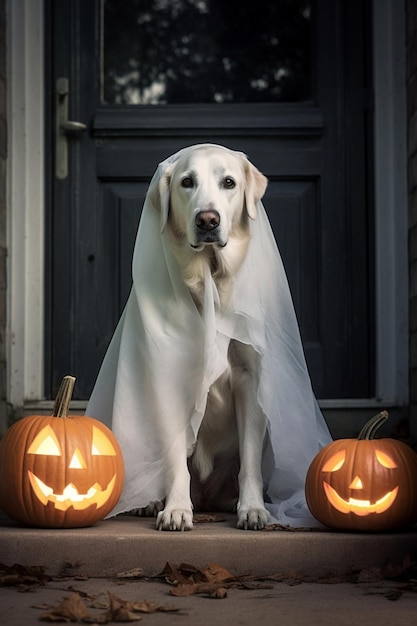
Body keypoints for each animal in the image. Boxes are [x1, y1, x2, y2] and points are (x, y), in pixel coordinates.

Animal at [140, 145, 272, 528]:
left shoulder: (249, 378)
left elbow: (250, 459)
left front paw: (252, 508)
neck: (209, 279)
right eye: (187, 182)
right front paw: (176, 508)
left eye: (229, 182)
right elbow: (175, 461)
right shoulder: (168, 376)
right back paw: (152, 500)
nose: (207, 220)